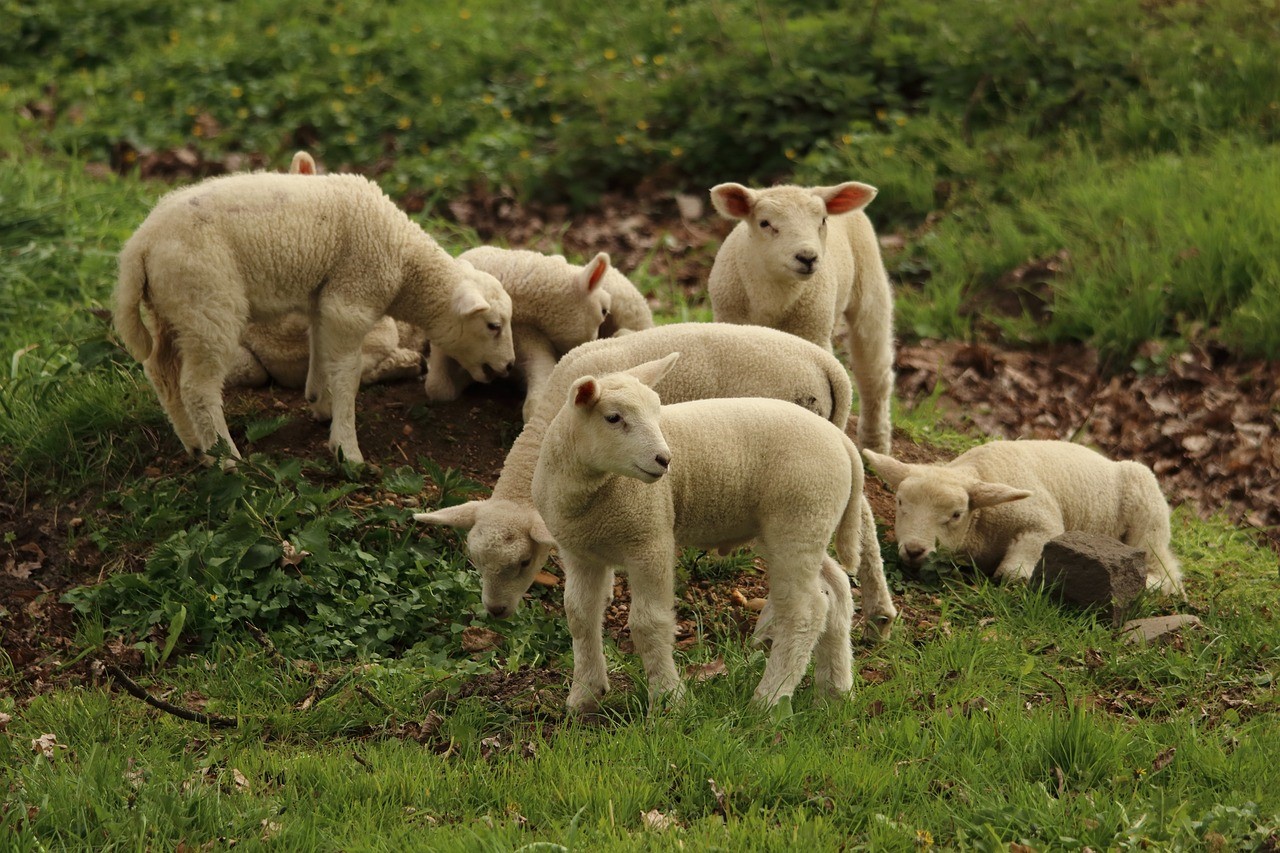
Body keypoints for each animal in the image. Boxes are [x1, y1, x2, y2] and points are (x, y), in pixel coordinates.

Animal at [113, 171, 514, 461]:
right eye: (493, 326)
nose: (510, 366)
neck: (404, 262)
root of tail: (140, 246)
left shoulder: (325, 300)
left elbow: (321, 352)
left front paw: (320, 404)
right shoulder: (351, 299)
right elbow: (348, 373)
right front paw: (347, 449)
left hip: (172, 310)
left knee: (160, 372)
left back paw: (195, 447)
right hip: (207, 302)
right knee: (198, 387)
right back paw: (226, 458)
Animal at [524, 350, 896, 712]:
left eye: (657, 412)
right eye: (613, 418)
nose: (665, 460)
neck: (592, 493)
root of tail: (843, 441)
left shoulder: (650, 540)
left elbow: (648, 623)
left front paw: (669, 701)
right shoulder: (579, 552)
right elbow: (579, 617)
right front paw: (585, 696)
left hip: (800, 516)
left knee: (805, 611)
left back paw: (769, 700)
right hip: (802, 525)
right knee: (836, 590)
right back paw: (835, 691)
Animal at [706, 183, 896, 455]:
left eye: (823, 220)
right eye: (765, 223)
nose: (807, 257)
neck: (774, 299)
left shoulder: (813, 330)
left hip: (870, 285)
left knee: (874, 374)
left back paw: (875, 446)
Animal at [865, 438, 1182, 591]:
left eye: (956, 514)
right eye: (900, 502)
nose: (914, 550)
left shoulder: (1043, 524)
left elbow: (1012, 575)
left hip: (1148, 522)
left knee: (1168, 575)